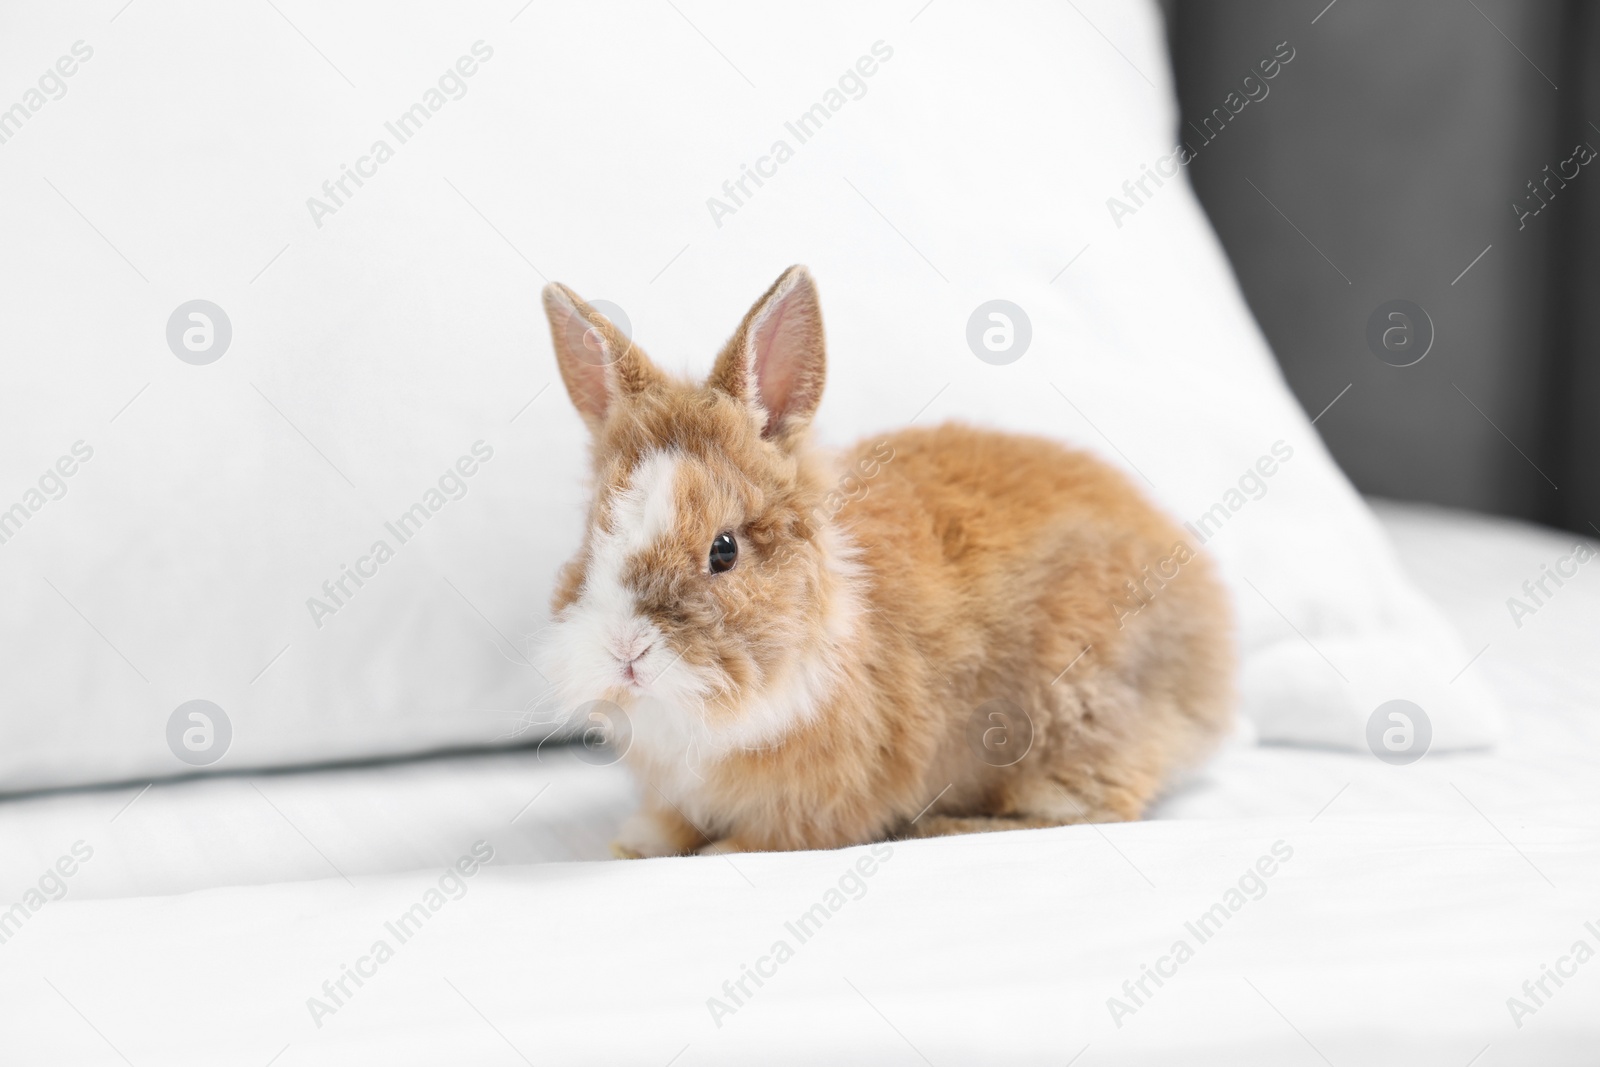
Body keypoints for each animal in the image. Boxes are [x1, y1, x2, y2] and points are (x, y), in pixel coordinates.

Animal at [537, 267, 1235, 857]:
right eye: (593, 536)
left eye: (724, 550)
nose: (626, 653)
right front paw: (638, 842)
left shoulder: (824, 799)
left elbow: (773, 838)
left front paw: (716, 851)